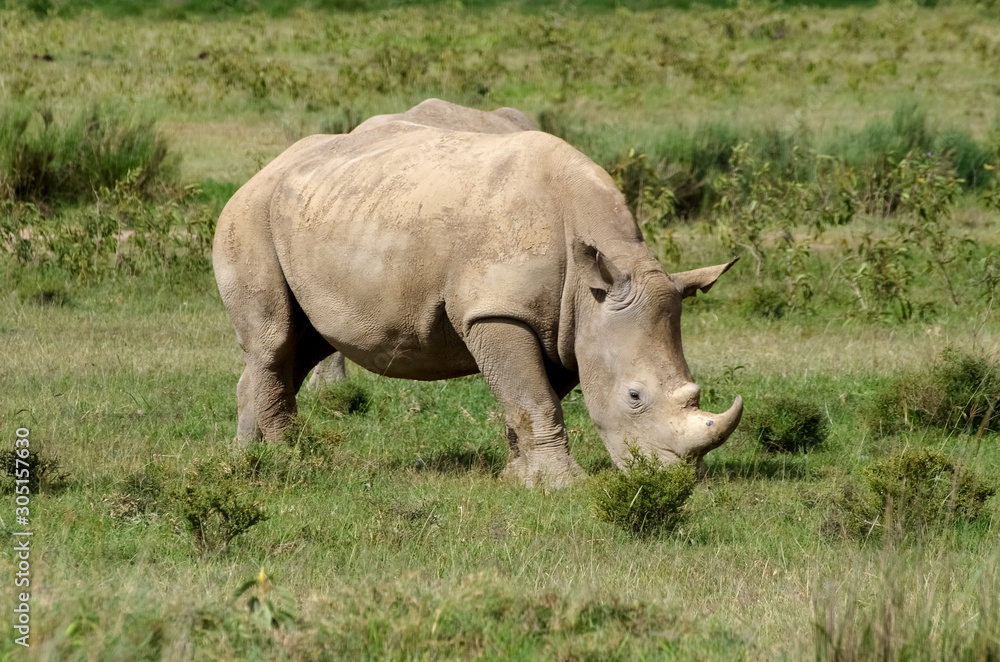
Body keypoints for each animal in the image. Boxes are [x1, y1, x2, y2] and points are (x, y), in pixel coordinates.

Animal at [213, 100, 743, 487]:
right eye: (634, 396)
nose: (679, 480)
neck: (601, 277)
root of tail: (266, 168)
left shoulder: (563, 324)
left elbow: (530, 396)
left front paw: (518, 478)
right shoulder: (498, 311)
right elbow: (534, 397)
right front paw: (563, 486)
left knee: (301, 345)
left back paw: (247, 459)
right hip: (249, 215)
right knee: (276, 339)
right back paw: (290, 462)